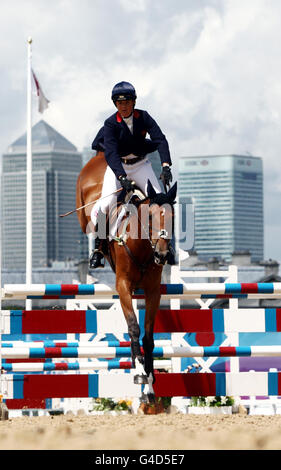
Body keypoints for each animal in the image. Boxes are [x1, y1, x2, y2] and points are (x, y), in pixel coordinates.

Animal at [74, 151, 175, 400]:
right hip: (86, 209)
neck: (142, 246)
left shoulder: (153, 291)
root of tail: (100, 156)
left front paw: (150, 379)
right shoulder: (123, 286)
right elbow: (133, 327)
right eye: (150, 218)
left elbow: (148, 334)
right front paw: (139, 372)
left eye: (173, 217)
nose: (162, 254)